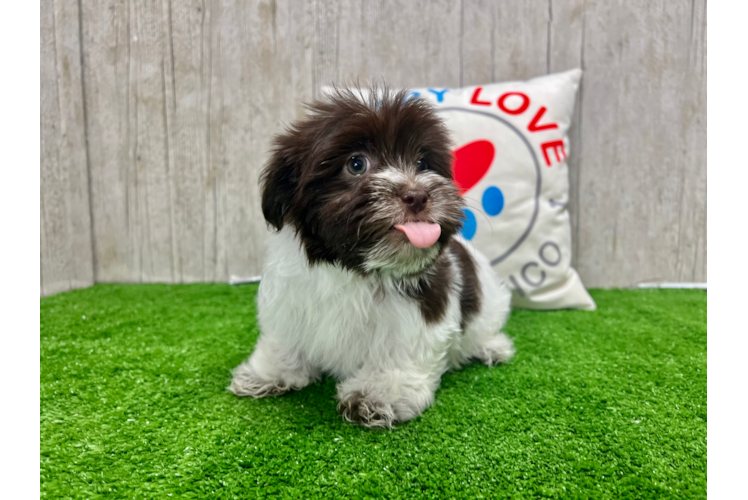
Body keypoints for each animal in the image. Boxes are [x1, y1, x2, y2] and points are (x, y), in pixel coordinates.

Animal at [232, 87, 516, 430]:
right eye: (357, 164)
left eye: (422, 163)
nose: (417, 195)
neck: (353, 267)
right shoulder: (289, 299)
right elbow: (283, 339)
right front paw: (269, 372)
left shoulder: (417, 312)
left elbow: (400, 350)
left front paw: (380, 394)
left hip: (491, 304)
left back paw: (491, 346)